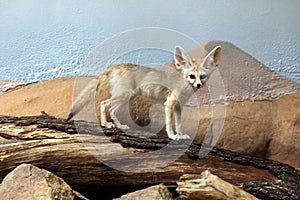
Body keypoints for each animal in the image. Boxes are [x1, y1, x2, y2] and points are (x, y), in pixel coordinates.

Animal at [69, 45, 221, 140]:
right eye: (191, 76)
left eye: (202, 76)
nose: (199, 85)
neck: (184, 85)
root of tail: (115, 66)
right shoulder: (169, 104)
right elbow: (169, 124)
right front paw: (172, 136)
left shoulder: (178, 106)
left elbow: (178, 124)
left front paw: (180, 135)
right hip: (123, 96)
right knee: (103, 104)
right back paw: (105, 124)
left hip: (126, 98)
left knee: (111, 110)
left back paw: (119, 126)